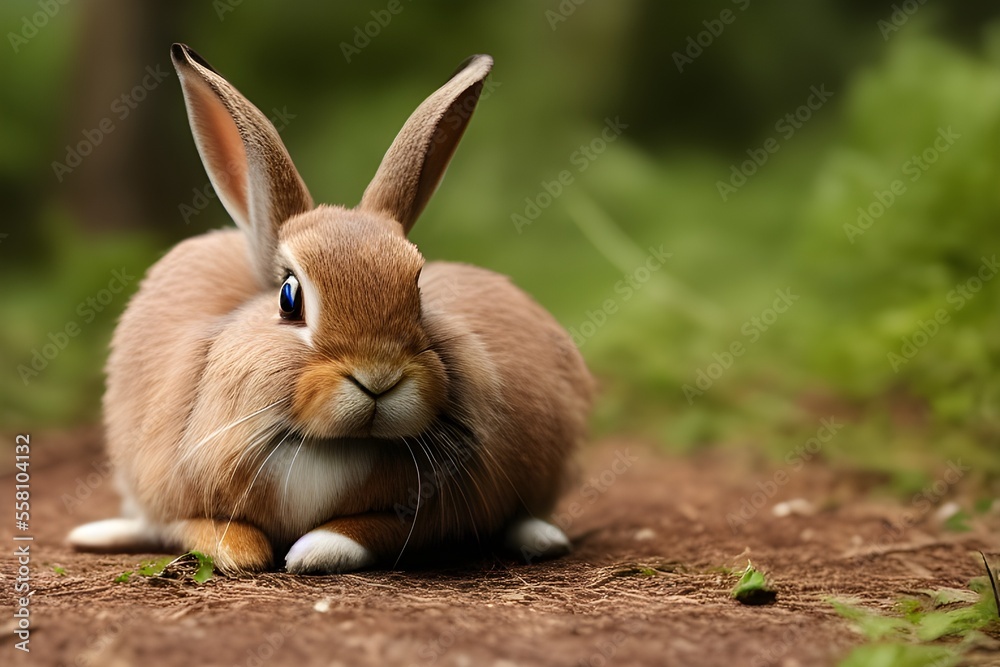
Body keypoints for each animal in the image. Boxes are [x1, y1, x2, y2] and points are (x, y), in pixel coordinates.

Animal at [68, 44, 593, 574]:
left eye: (418, 292)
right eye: (289, 298)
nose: (377, 376)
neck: (330, 446)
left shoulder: (439, 509)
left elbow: (376, 529)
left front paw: (312, 550)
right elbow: (199, 529)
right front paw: (245, 552)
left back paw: (542, 537)